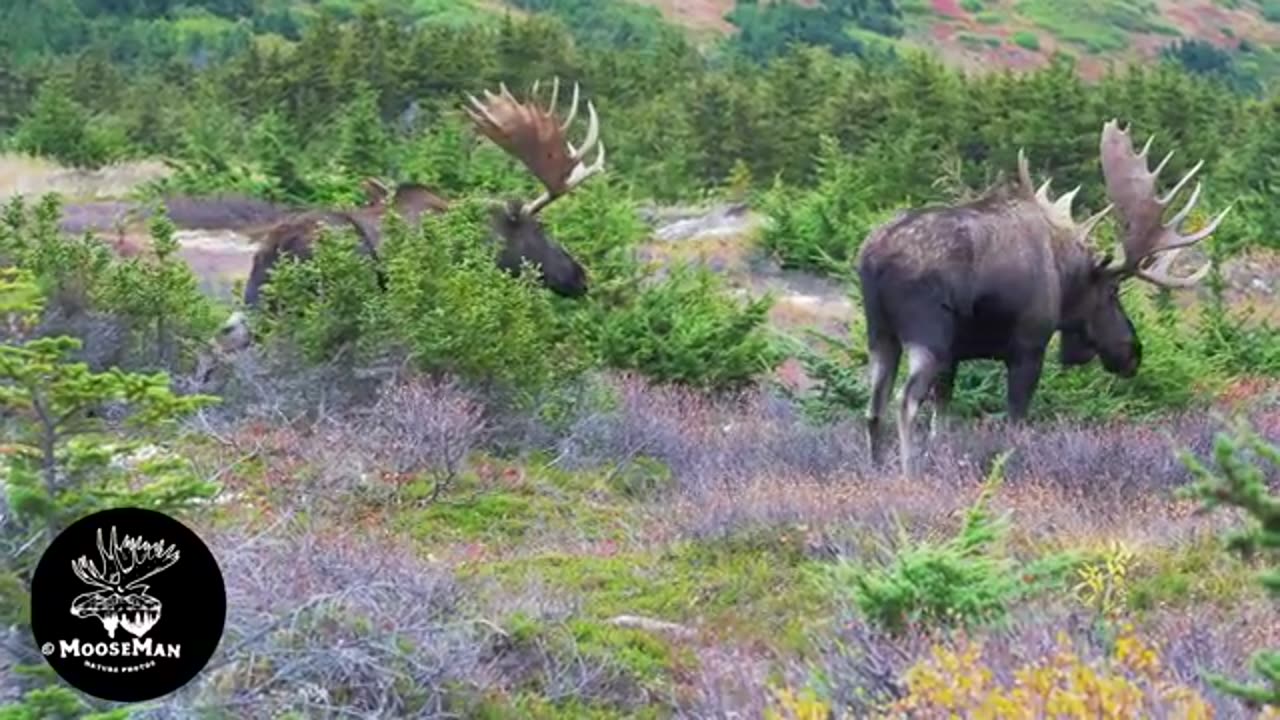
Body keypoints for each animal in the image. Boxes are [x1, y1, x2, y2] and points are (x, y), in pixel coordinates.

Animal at [860, 119, 1228, 474]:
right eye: (1112, 291)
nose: (1133, 352)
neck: (1064, 277)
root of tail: (875, 259)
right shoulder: (1028, 347)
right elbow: (1015, 423)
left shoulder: (955, 355)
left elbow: (941, 424)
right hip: (928, 334)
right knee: (904, 402)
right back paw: (908, 474)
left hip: (880, 333)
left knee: (874, 407)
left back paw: (876, 470)